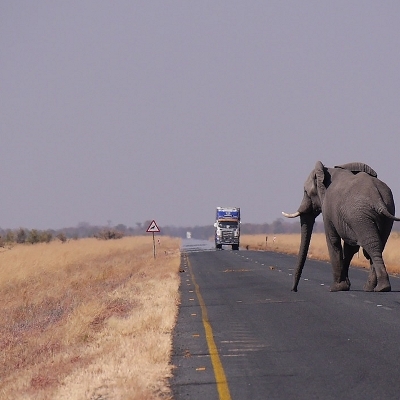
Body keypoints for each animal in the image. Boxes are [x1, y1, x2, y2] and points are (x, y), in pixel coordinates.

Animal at [282, 161, 400, 292]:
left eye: (306, 192)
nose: (294, 290)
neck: (326, 171)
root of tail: (378, 199)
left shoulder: (328, 209)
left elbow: (333, 241)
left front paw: (336, 288)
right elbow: (350, 249)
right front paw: (345, 285)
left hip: (360, 216)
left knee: (371, 245)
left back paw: (380, 287)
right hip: (385, 211)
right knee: (378, 245)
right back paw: (373, 288)